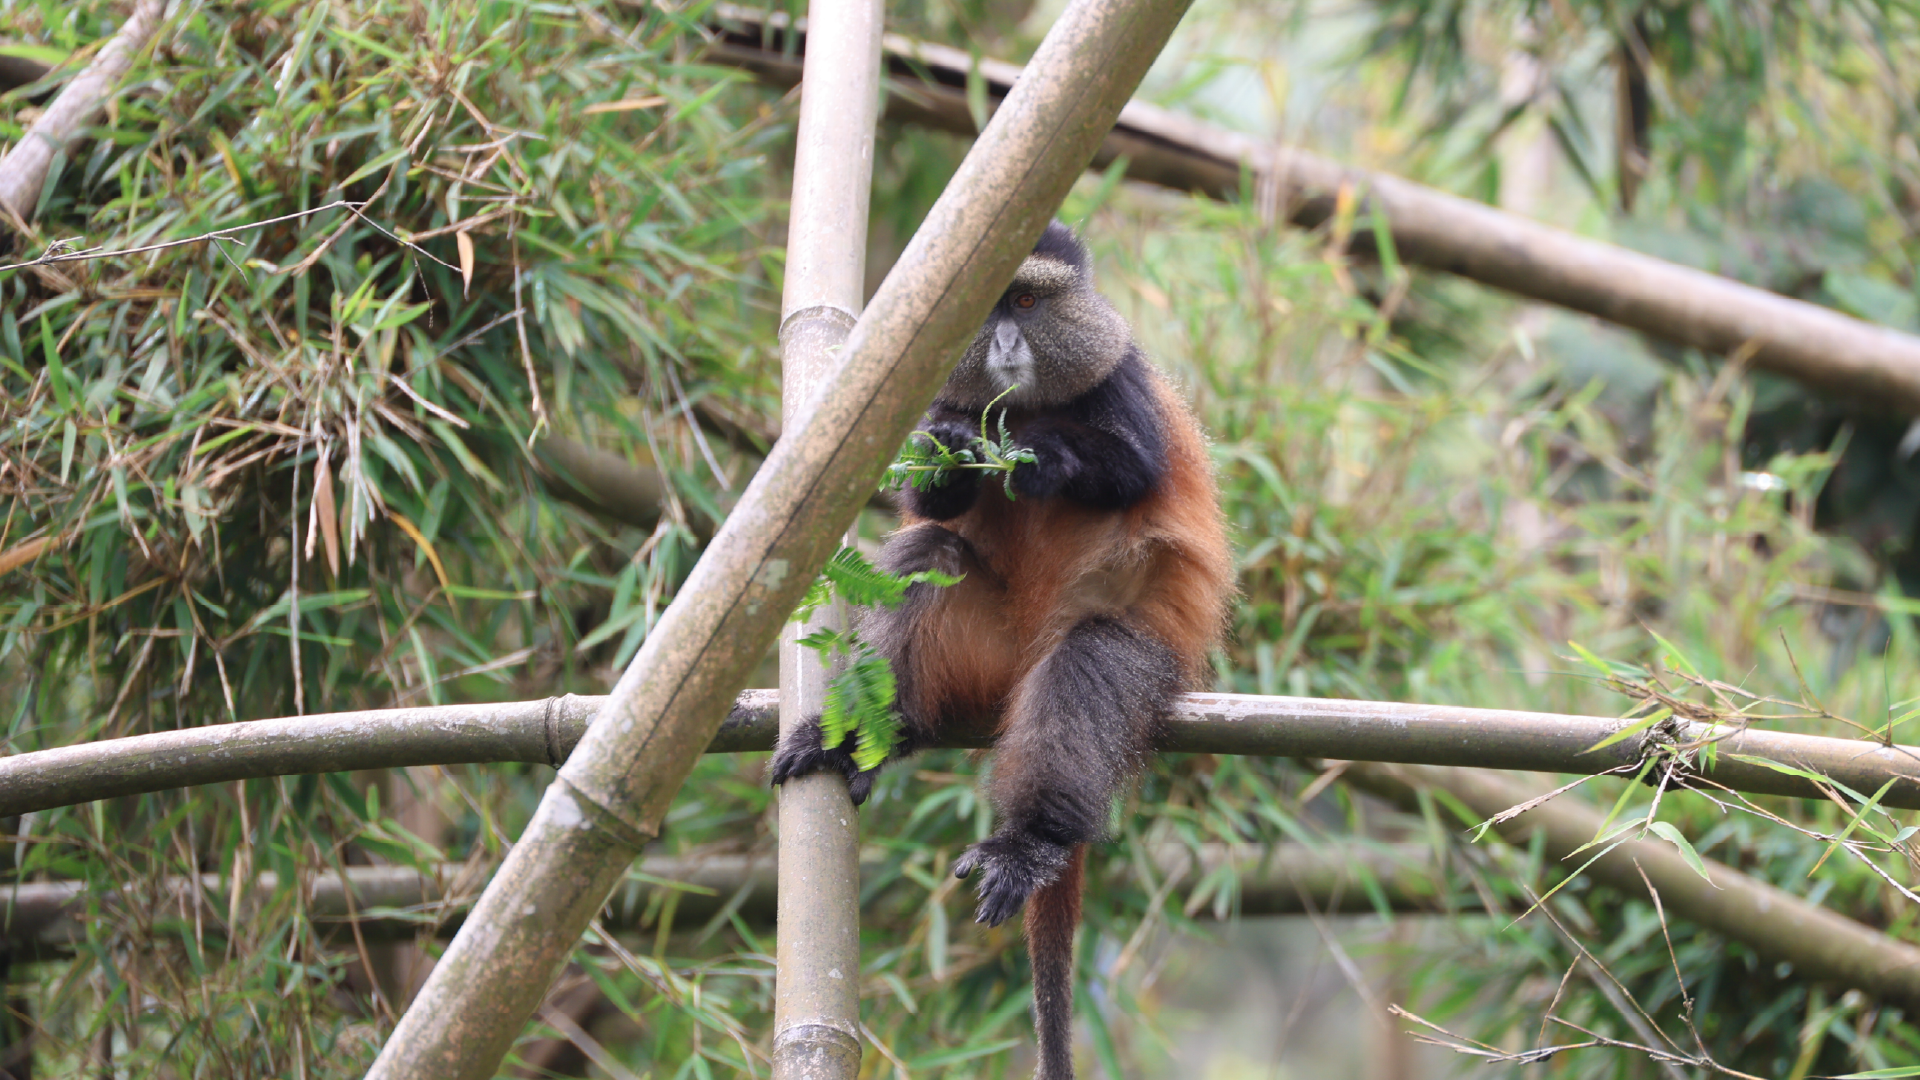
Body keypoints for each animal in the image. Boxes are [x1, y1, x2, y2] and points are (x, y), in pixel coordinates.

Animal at [771, 221, 1234, 1079]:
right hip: (981, 648)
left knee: (1089, 663)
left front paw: (1034, 453)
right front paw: (956, 456)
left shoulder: (1121, 378)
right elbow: (930, 503)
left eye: (1026, 302)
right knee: (930, 556)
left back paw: (1033, 842)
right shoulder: (937, 400)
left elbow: (1132, 468)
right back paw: (864, 736)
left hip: (1121, 646)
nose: (1009, 342)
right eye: (991, 304)